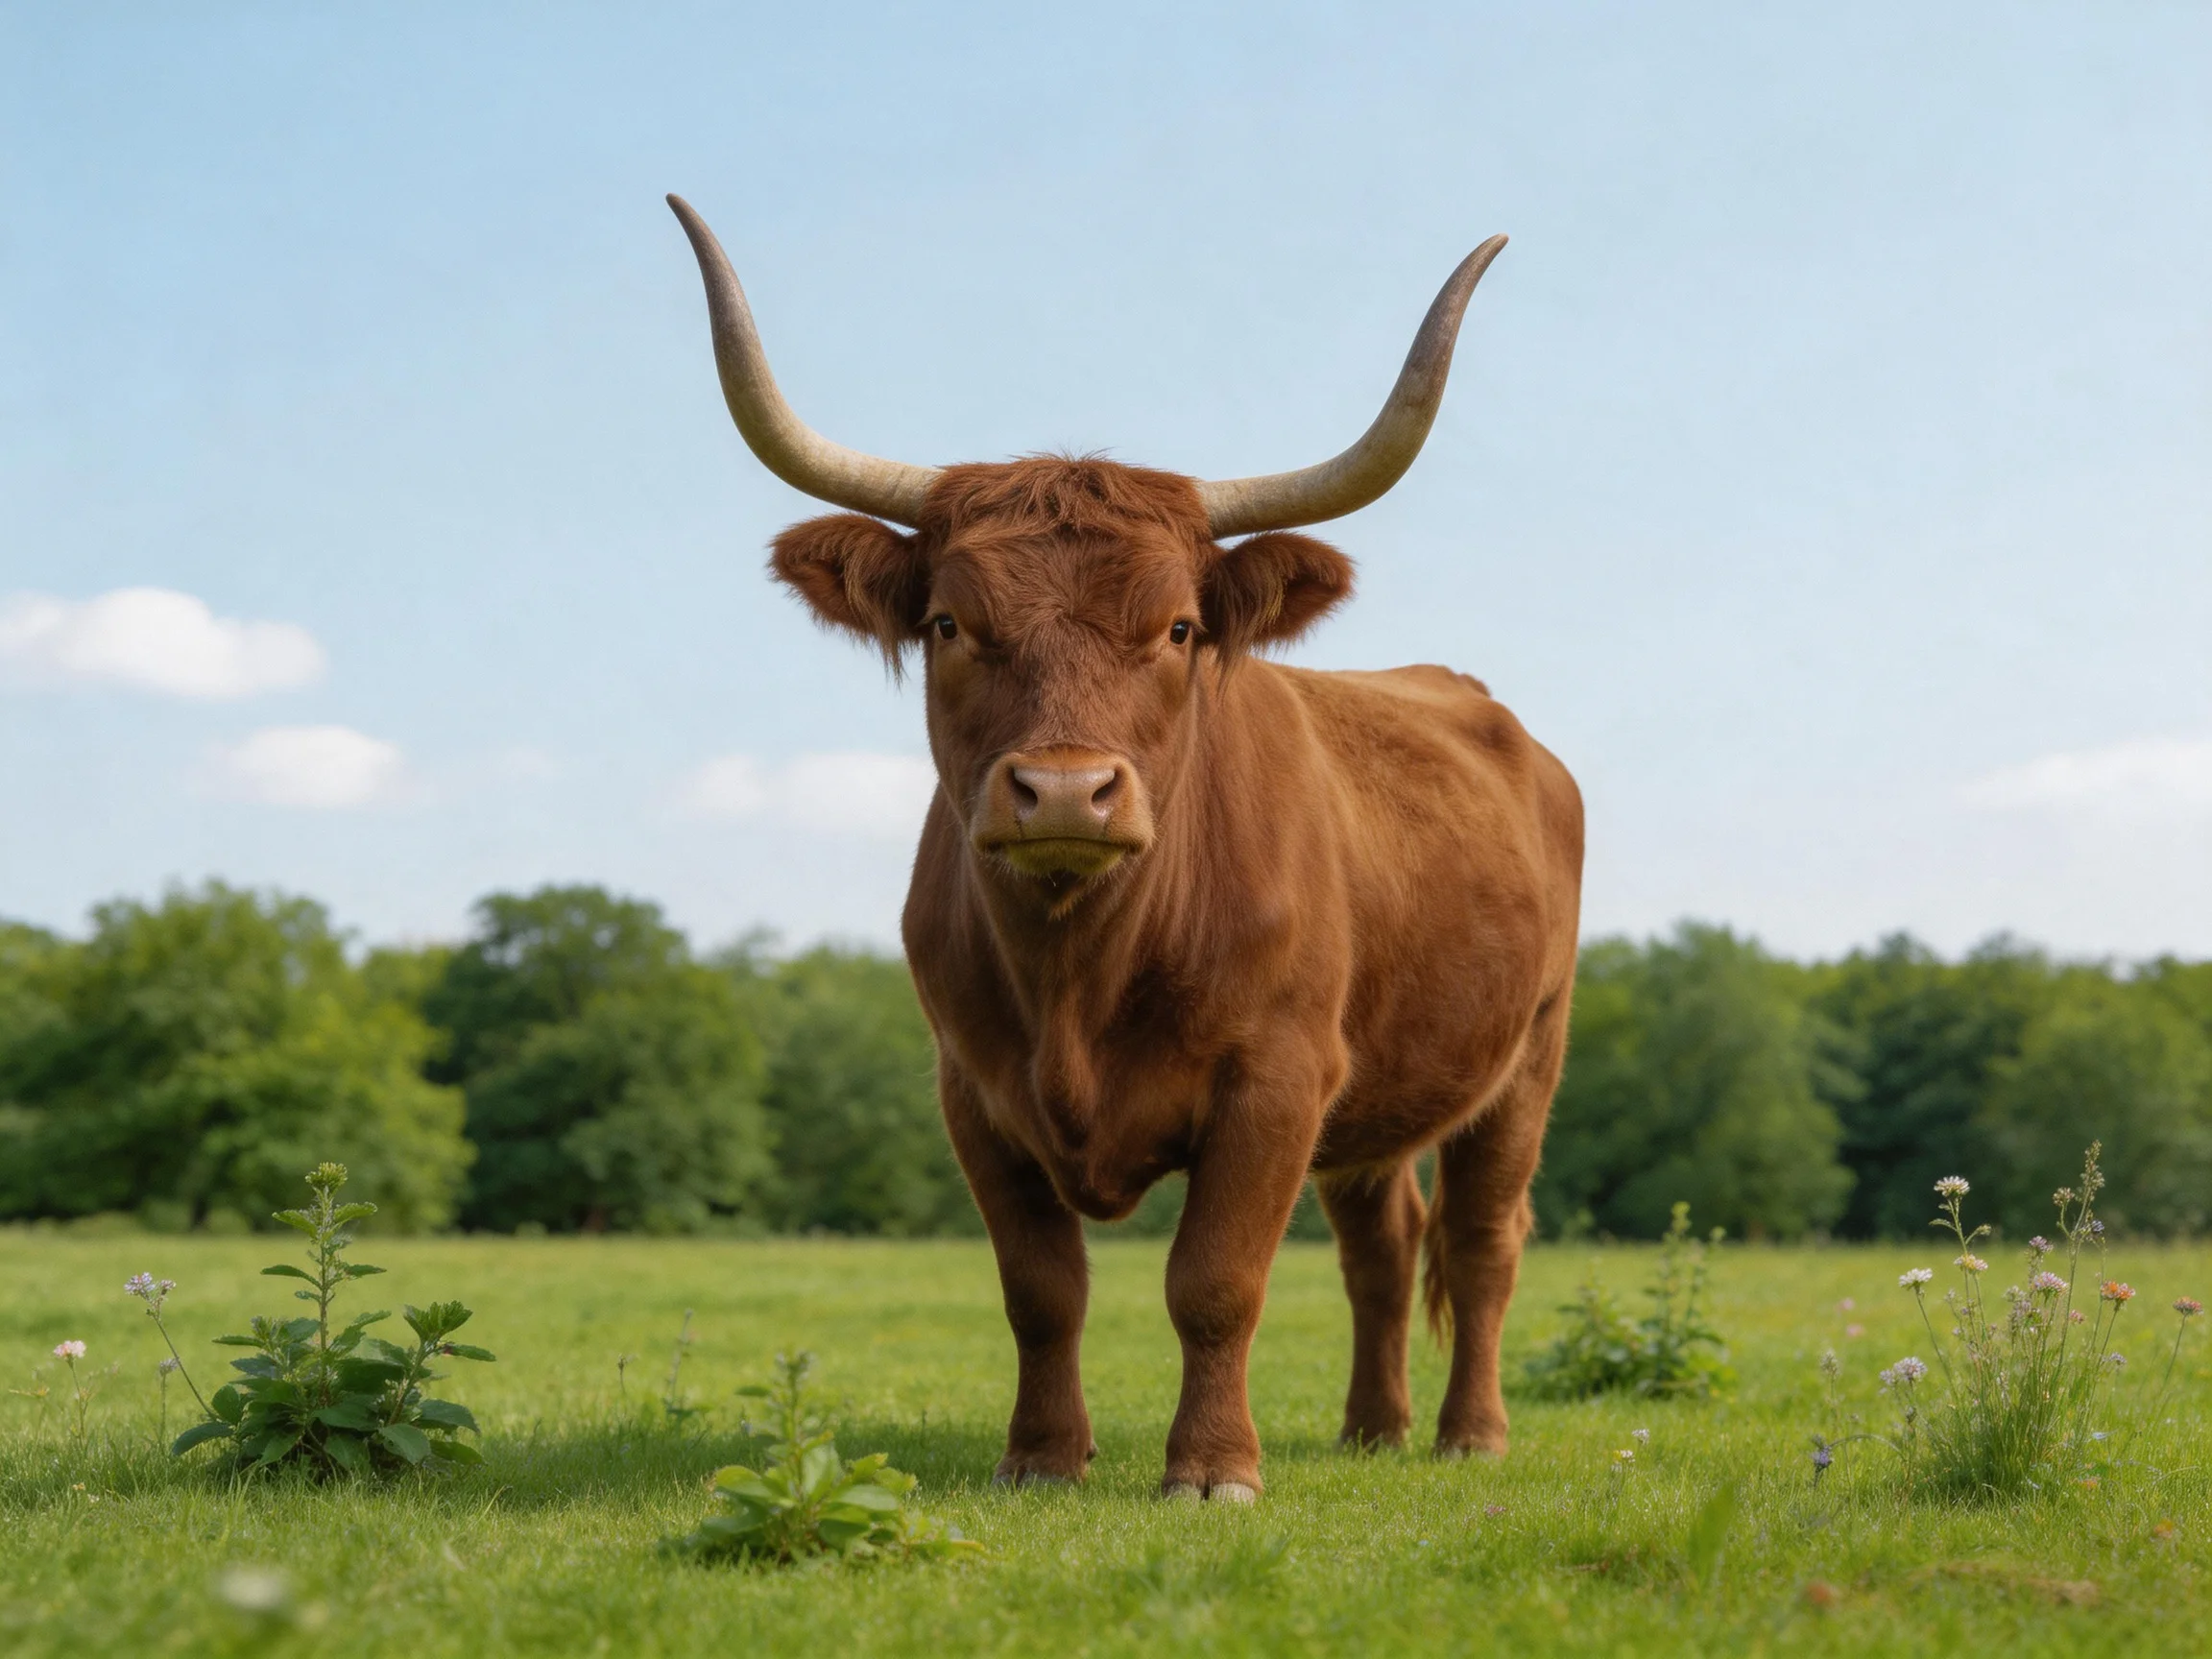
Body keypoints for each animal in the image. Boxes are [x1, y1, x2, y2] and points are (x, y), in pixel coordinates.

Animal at [669, 195, 1583, 1502]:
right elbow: (1042, 1291)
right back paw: (1372, 1428)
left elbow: (1215, 1284)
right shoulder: (973, 1090)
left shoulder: (1276, 1078)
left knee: (1482, 1239)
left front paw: (1212, 1469)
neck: (1076, 978)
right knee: (1384, 1243)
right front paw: (1045, 1457)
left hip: (1529, 1055)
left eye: (1181, 627)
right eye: (948, 623)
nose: (1063, 790)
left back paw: (1470, 1434)